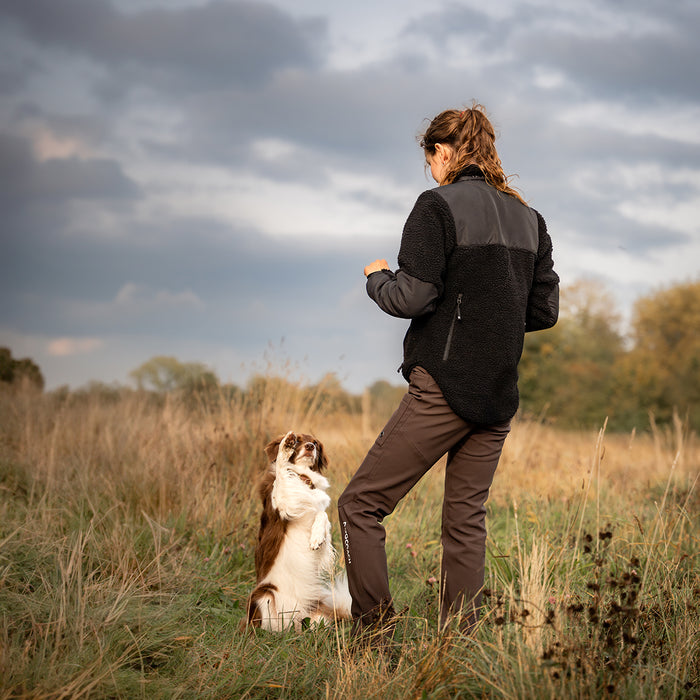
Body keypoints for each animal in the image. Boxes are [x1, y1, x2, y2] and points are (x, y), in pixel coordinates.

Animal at [247, 430, 356, 632]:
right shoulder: (281, 502)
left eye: (315, 443)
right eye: (298, 440)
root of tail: (295, 622)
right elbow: (282, 472)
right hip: (263, 595)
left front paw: (317, 537)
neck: (303, 478)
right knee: (270, 626)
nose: (310, 447)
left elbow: (322, 515)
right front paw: (285, 447)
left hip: (316, 606)